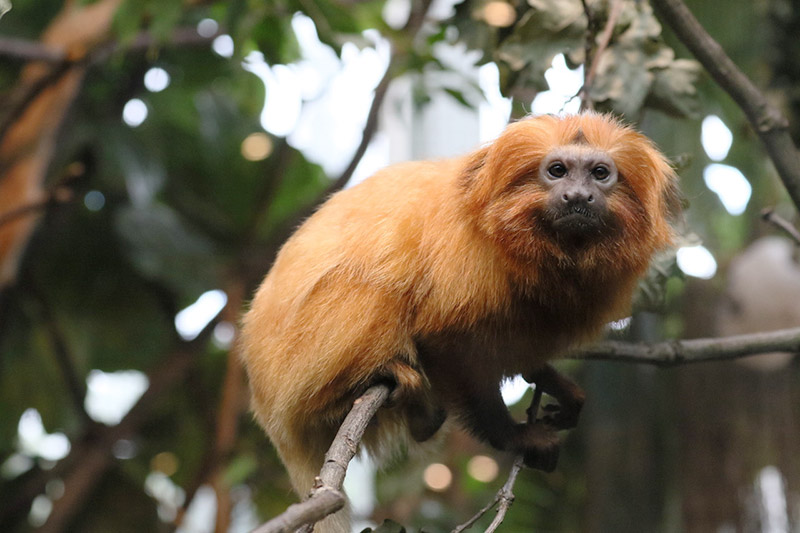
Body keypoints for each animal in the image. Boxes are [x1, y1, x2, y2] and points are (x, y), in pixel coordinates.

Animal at [241, 111, 680, 528]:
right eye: (557, 171)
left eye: (600, 174)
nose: (578, 196)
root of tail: (265, 405)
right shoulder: (465, 262)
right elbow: (446, 342)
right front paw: (513, 437)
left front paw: (553, 382)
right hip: (295, 367)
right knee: (370, 285)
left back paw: (424, 419)